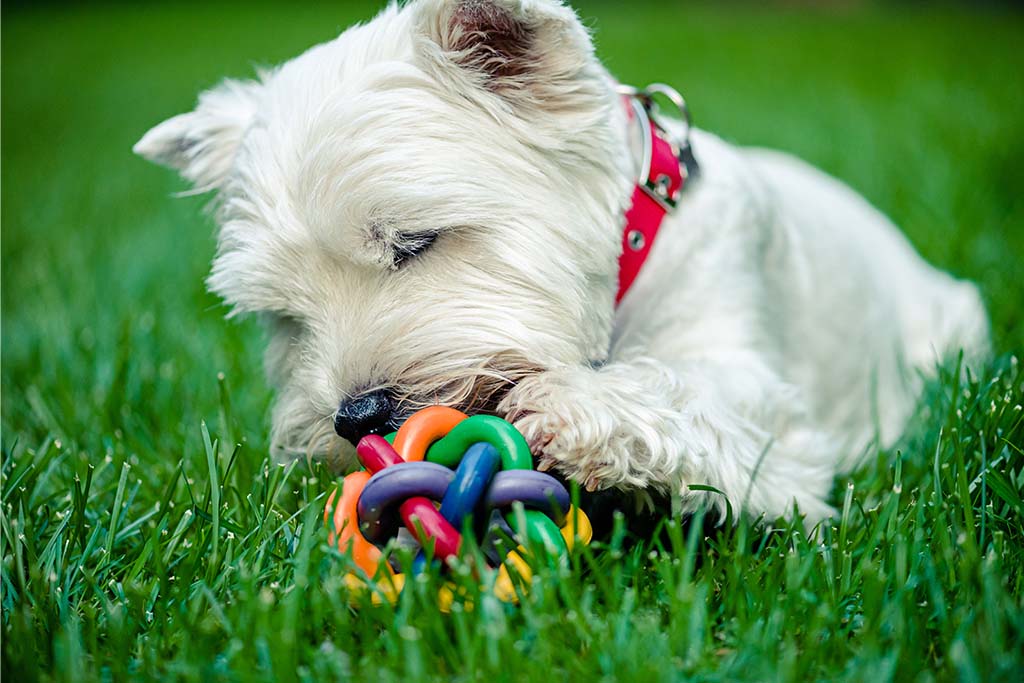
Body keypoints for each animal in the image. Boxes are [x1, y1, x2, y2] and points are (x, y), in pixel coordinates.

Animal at [134, 0, 983, 524]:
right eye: (284, 314)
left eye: (413, 242)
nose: (356, 417)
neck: (630, 254)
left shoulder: (770, 409)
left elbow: (692, 395)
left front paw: (569, 405)